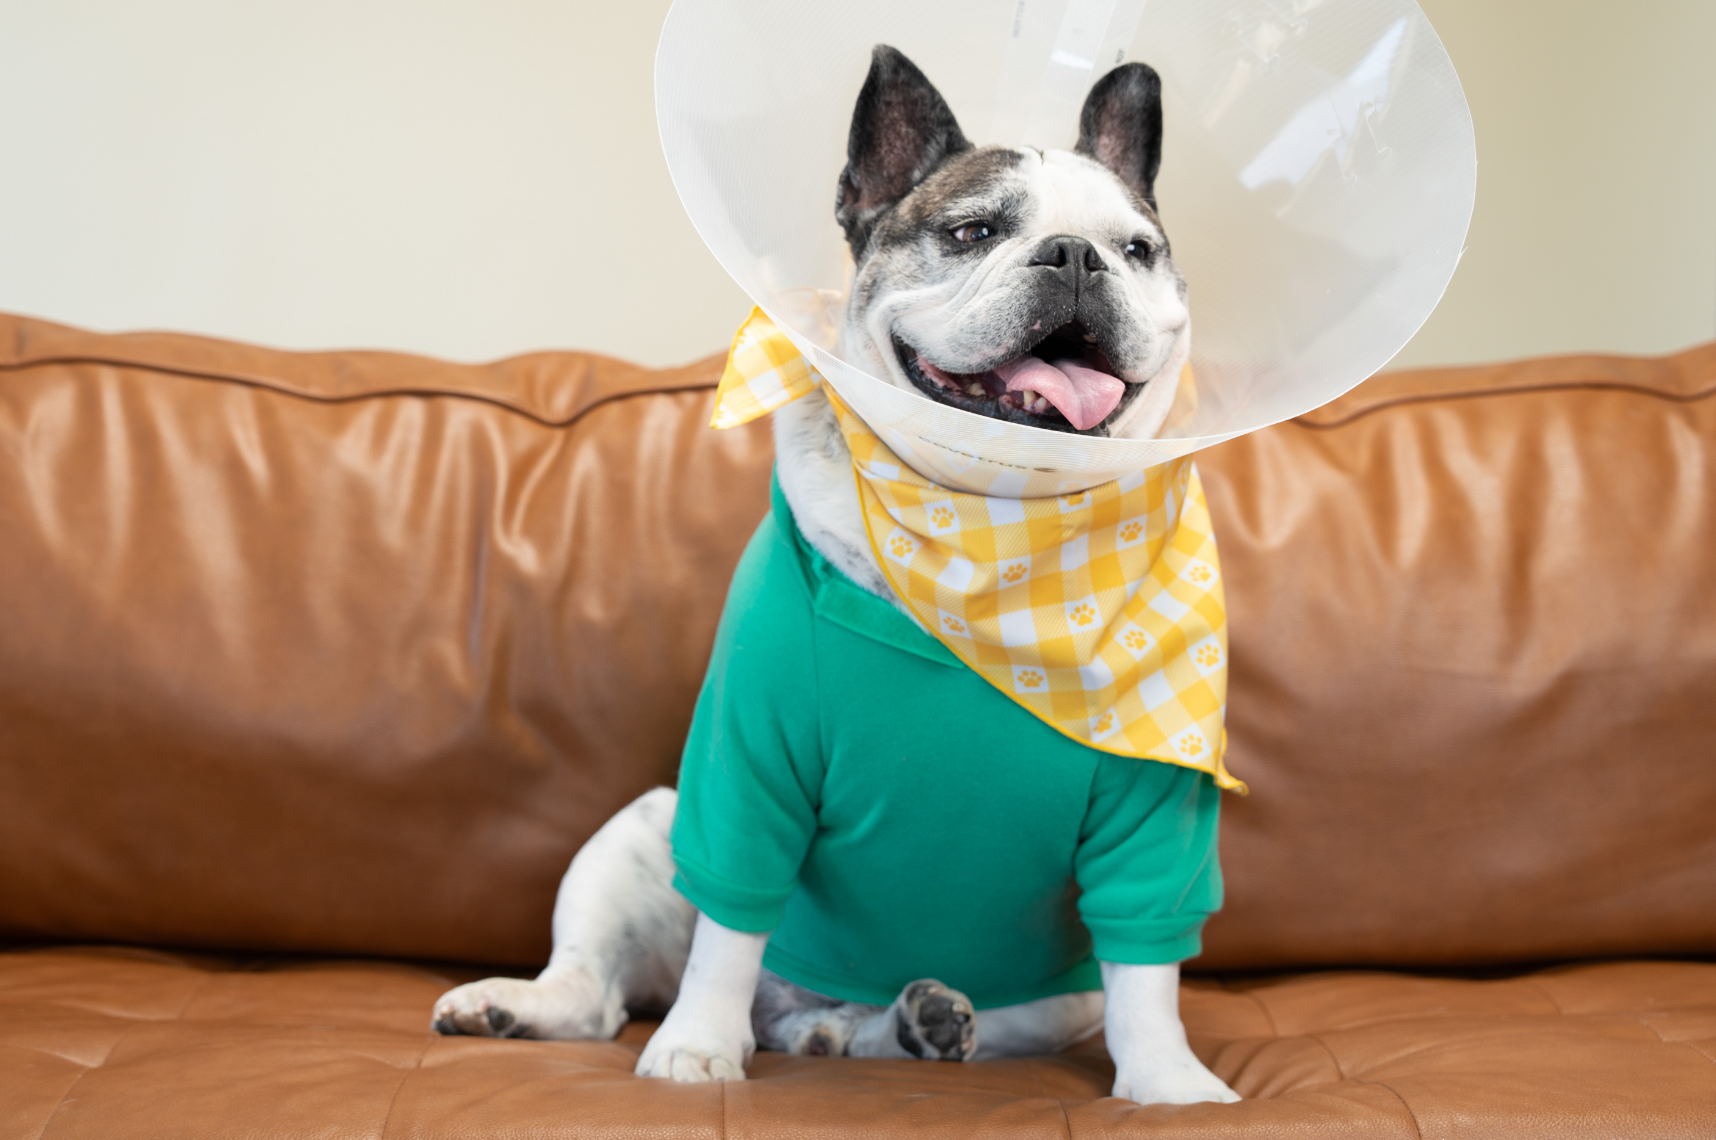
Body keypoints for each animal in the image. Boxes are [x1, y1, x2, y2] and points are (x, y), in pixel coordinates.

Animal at [429, 46, 1235, 1105]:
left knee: (918, 1029)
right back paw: (518, 1006)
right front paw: (695, 1048)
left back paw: (910, 1024)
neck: (989, 531)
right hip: (641, 829)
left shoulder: (1154, 808)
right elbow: (727, 931)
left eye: (1137, 250)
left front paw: (1171, 1085)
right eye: (972, 232)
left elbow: (1147, 971)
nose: (1074, 255)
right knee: (598, 995)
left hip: (1055, 1001)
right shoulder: (747, 765)